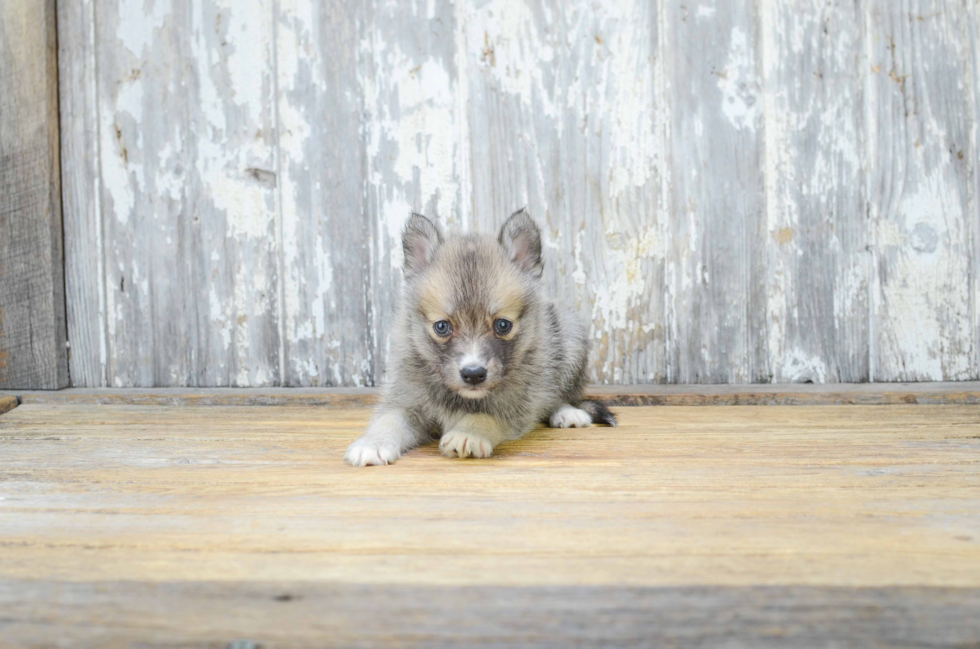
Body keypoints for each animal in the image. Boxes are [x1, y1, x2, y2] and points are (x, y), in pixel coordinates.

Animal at [342, 209, 612, 466]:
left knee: (561, 395)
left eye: (503, 325)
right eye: (442, 327)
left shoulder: (515, 406)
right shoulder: (405, 400)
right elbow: (389, 420)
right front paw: (373, 443)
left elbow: (484, 416)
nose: (473, 374)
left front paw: (468, 433)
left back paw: (568, 412)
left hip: (569, 340)